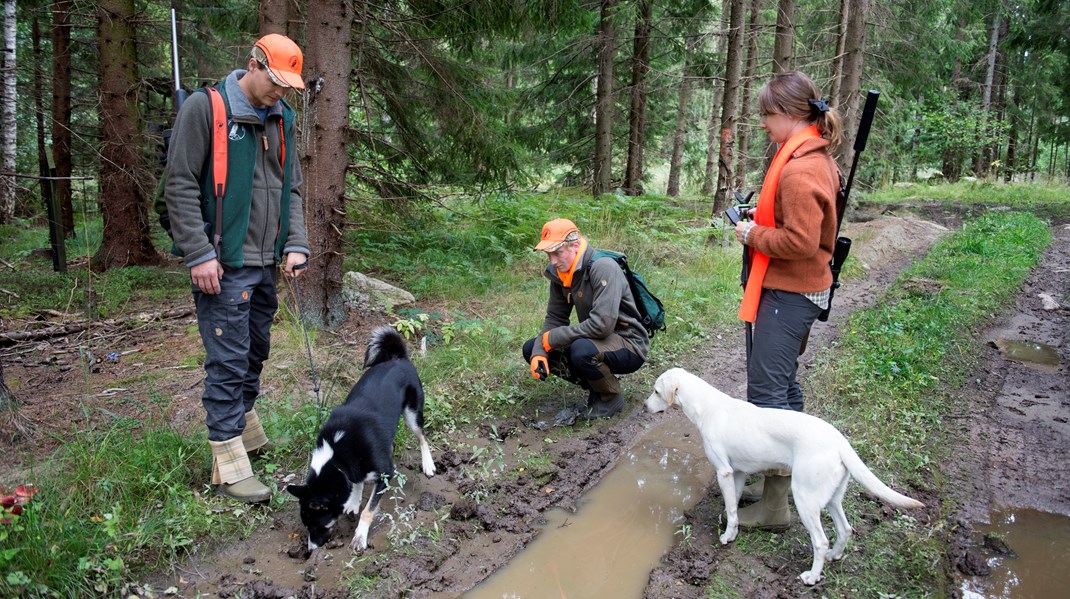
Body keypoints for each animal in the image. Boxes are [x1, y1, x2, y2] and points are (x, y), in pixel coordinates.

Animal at [286, 327, 436, 551]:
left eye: (317, 526)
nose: (311, 550)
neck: (337, 455)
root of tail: (399, 358)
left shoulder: (385, 474)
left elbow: (369, 510)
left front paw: (359, 536)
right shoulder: (354, 468)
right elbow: (357, 483)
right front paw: (353, 502)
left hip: (412, 413)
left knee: (422, 438)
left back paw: (428, 463)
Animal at [646, 367, 924, 581]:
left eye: (656, 391)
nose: (646, 406)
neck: (707, 407)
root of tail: (839, 441)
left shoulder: (724, 472)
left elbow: (731, 508)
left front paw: (726, 535)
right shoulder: (737, 473)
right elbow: (733, 507)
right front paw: (732, 530)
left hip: (805, 499)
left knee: (820, 541)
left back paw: (812, 576)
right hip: (832, 498)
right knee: (845, 529)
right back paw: (834, 556)